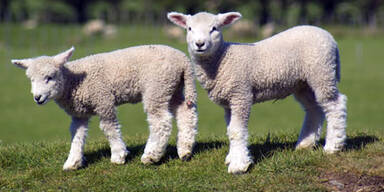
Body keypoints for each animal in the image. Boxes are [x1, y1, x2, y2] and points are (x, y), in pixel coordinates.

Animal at [11, 45, 198, 171]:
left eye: (50, 77)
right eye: (31, 79)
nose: (37, 98)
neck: (73, 82)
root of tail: (183, 60)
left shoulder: (103, 100)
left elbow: (109, 128)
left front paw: (118, 155)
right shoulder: (79, 114)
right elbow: (77, 135)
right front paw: (73, 161)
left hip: (157, 87)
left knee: (161, 122)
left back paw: (151, 155)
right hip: (173, 87)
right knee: (186, 112)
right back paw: (185, 150)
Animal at [168, 11, 348, 174]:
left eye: (214, 28)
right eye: (189, 28)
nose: (200, 44)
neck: (222, 59)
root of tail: (330, 37)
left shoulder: (241, 94)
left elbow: (237, 131)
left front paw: (239, 165)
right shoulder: (229, 102)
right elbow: (230, 131)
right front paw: (232, 157)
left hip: (322, 71)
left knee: (335, 105)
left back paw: (333, 146)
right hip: (303, 83)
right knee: (314, 108)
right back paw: (305, 144)